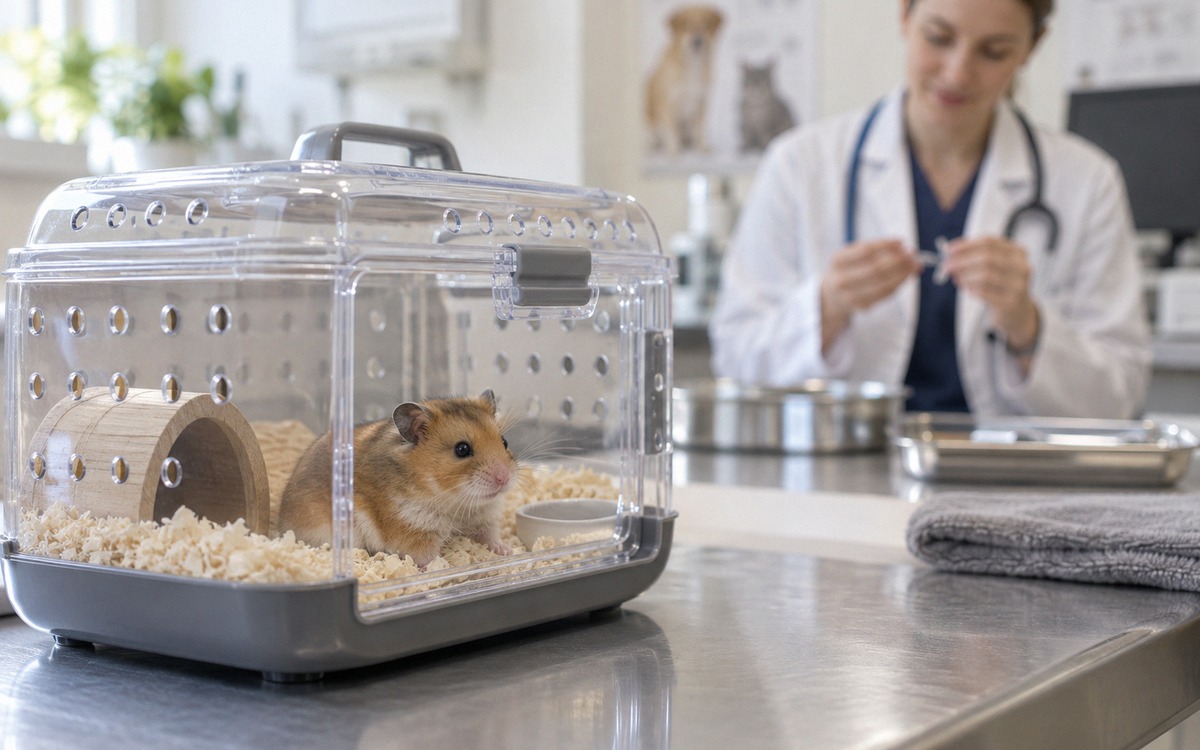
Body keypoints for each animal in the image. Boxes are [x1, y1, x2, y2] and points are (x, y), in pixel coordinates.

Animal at [279, 389, 518, 568]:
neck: (455, 501)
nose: (504, 478)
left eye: (504, 441)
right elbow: (427, 557)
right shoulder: (413, 529)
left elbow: (490, 536)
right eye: (462, 449)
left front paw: (508, 551)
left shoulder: (484, 517)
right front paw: (445, 566)